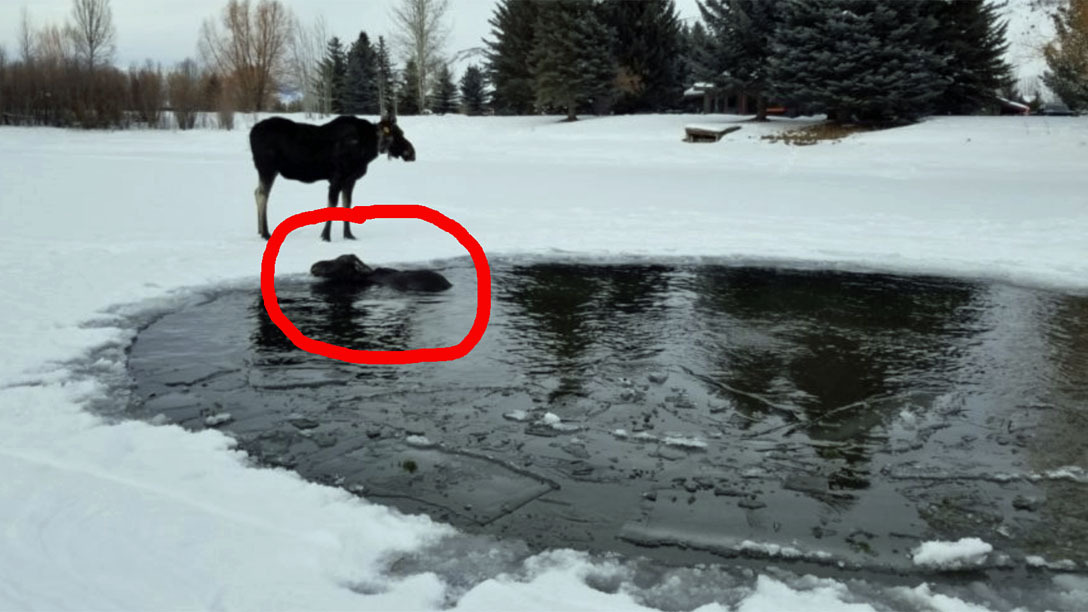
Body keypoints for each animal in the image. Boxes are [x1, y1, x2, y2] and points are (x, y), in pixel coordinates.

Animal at [249, 115, 416, 241]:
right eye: (398, 134)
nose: (411, 153)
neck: (367, 148)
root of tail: (251, 133)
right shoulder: (337, 178)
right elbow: (332, 205)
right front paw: (326, 236)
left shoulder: (350, 180)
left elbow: (347, 205)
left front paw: (348, 235)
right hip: (267, 168)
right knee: (263, 195)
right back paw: (266, 233)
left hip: (268, 170)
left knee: (257, 192)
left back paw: (259, 230)